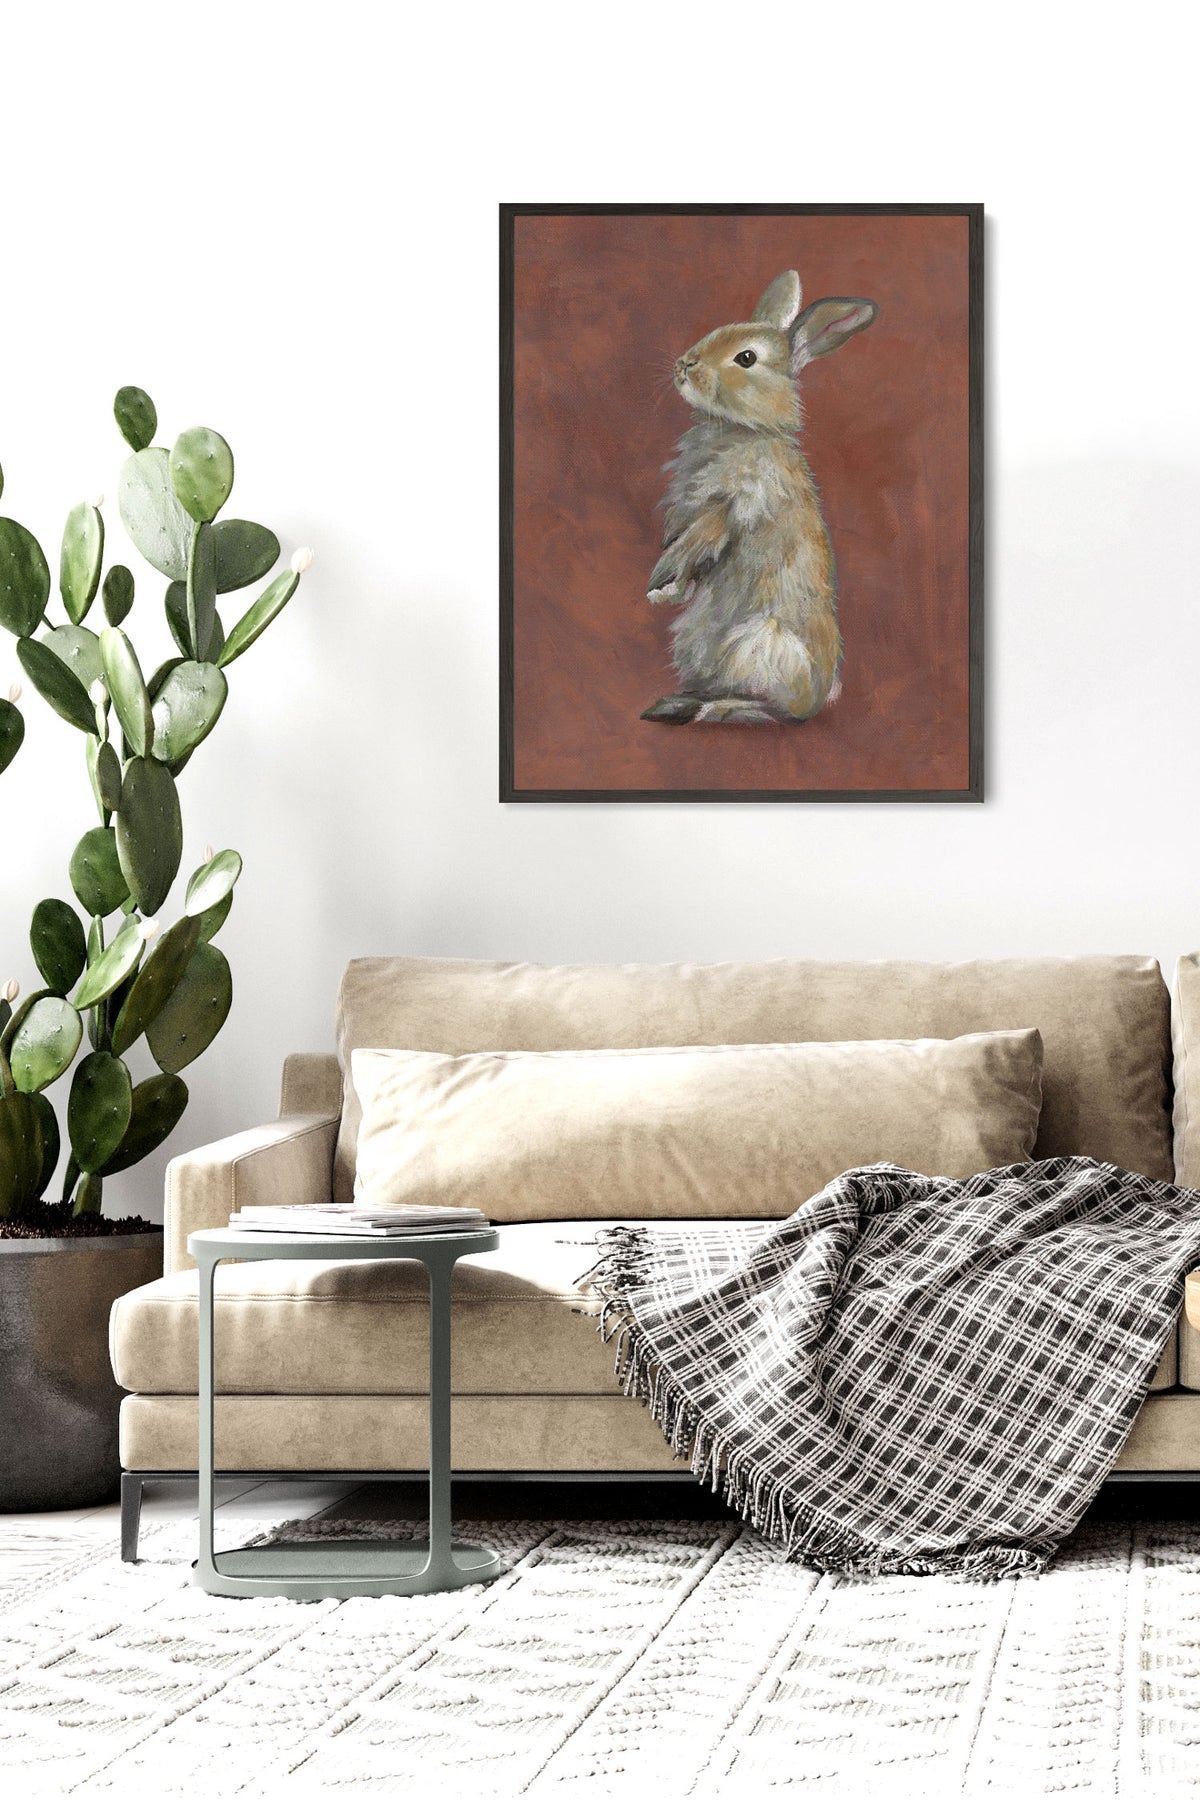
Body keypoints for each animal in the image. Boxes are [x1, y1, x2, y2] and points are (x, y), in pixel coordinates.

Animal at [642, 269, 877, 725]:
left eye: (746, 359)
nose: (685, 365)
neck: (742, 429)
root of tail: (820, 695)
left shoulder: (736, 503)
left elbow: (701, 538)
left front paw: (660, 585)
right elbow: (687, 552)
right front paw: (667, 591)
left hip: (759, 644)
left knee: (776, 710)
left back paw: (712, 710)